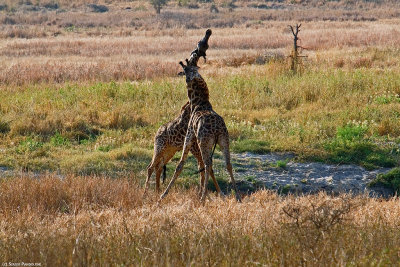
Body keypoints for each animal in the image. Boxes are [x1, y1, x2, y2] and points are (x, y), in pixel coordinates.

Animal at [159, 28, 241, 203]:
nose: (208, 32)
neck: (200, 101)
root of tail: (216, 130)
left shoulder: (189, 136)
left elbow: (180, 164)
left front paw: (162, 196)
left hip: (205, 142)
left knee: (208, 164)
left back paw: (203, 198)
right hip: (224, 139)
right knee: (228, 164)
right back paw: (237, 196)